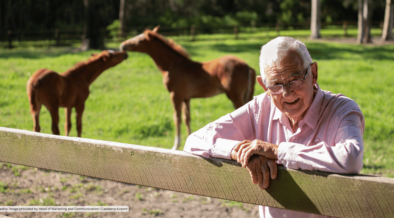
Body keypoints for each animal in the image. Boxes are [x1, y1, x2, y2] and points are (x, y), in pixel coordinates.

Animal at [120, 26, 255, 150]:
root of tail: (246, 66)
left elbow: (177, 118)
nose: (123, 45)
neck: (173, 66)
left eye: (140, 40)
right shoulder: (186, 98)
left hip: (235, 96)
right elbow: (187, 118)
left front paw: (175, 146)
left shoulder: (175, 95)